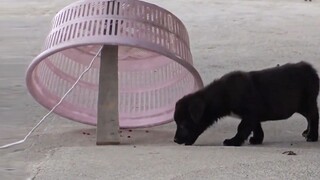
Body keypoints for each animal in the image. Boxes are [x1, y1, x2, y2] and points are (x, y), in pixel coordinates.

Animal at [174, 61, 318, 146]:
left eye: (183, 124)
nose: (175, 140)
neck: (222, 94)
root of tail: (310, 68)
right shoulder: (254, 116)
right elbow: (256, 127)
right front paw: (257, 139)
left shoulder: (249, 113)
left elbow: (242, 127)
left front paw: (233, 141)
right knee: (309, 117)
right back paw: (307, 132)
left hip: (307, 102)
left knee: (314, 117)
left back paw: (312, 136)